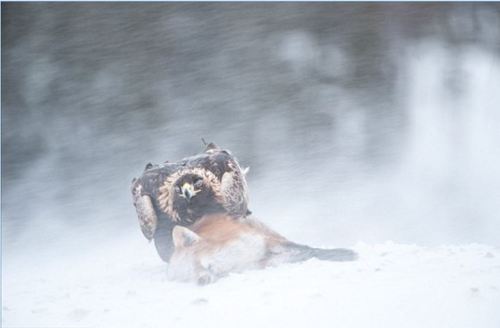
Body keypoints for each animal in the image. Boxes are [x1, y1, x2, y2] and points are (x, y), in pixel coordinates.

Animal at [167, 213, 356, 284]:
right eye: (188, 278)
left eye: (195, 264)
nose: (200, 281)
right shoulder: (260, 262)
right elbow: (298, 256)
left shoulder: (264, 243)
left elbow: (310, 250)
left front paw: (346, 254)